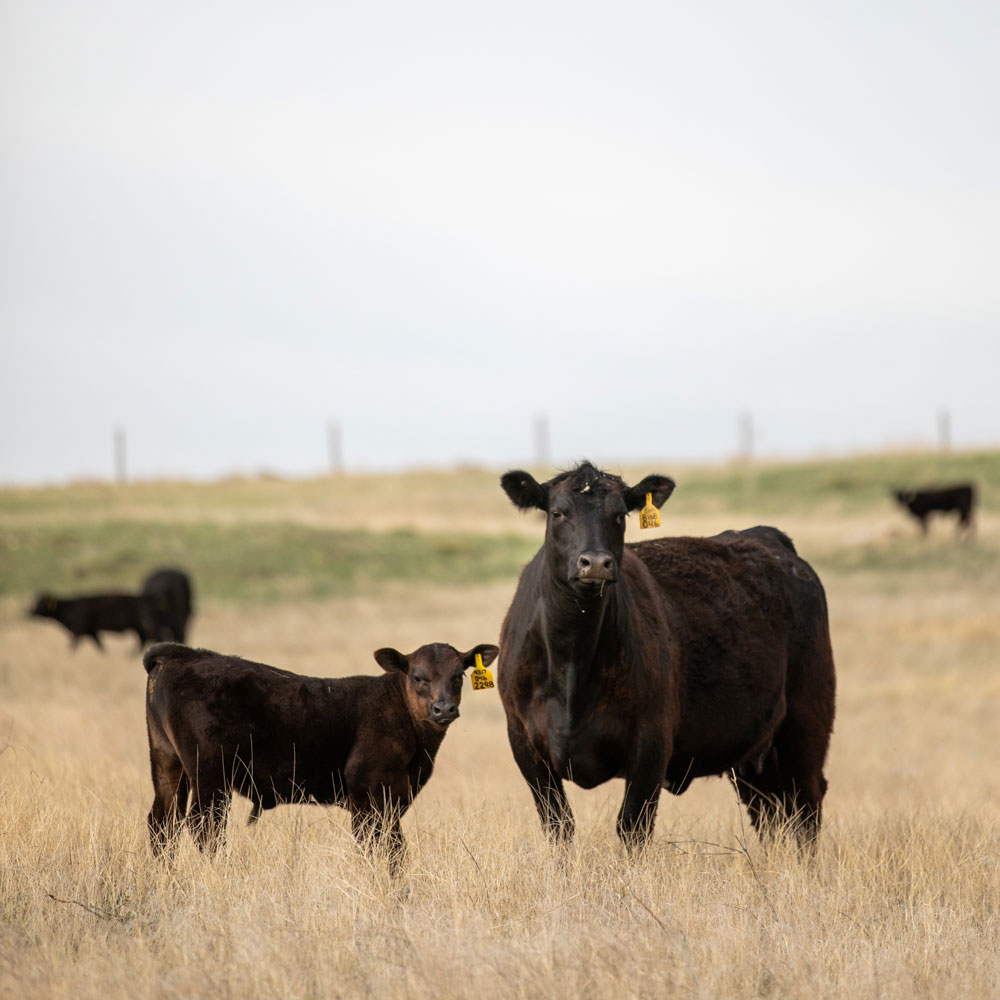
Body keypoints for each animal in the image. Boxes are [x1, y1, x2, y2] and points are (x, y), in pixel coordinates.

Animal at [29, 592, 159, 650]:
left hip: (143, 626)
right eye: (36, 601)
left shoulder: (78, 630)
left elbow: (72, 647)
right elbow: (100, 647)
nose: (29, 612)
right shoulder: (91, 632)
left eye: (41, 604)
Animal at [143, 640, 499, 870]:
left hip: (167, 761)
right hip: (210, 773)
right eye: (418, 676)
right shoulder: (366, 791)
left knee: (163, 823)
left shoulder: (394, 797)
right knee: (204, 827)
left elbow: (396, 849)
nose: (444, 708)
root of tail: (185, 655)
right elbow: (373, 845)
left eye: (459, 675)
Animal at [498, 462, 836, 851]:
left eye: (619, 515)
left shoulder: (652, 742)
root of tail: (766, 538)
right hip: (754, 753)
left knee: (806, 807)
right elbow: (559, 827)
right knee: (771, 814)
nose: (595, 563)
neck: (571, 662)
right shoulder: (525, 744)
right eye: (557, 512)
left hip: (807, 720)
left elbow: (632, 827)